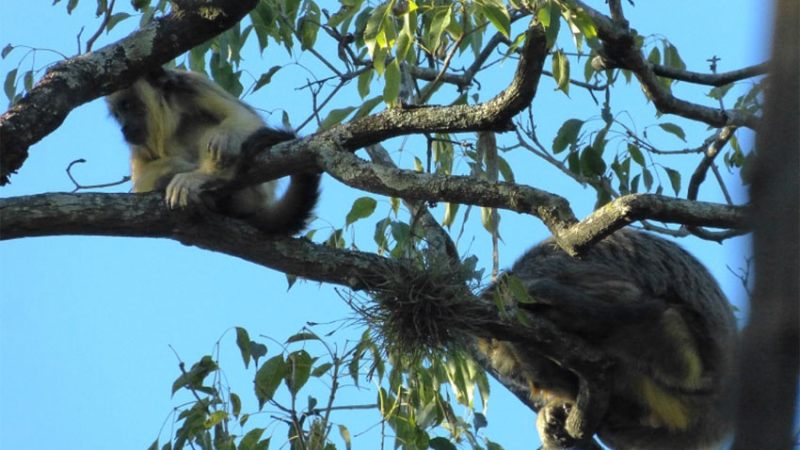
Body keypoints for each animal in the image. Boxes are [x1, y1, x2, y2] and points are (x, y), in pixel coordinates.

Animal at [106, 68, 320, 234]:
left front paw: (221, 143)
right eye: (118, 114)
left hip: (254, 193)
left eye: (127, 106)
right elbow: (140, 179)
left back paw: (208, 176)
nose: (124, 127)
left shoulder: (192, 85)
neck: (170, 113)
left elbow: (245, 118)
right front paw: (178, 171)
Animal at [479, 229, 738, 450]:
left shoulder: (539, 274)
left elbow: (626, 300)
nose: (503, 367)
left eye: (496, 344)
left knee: (651, 316)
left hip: (679, 351)